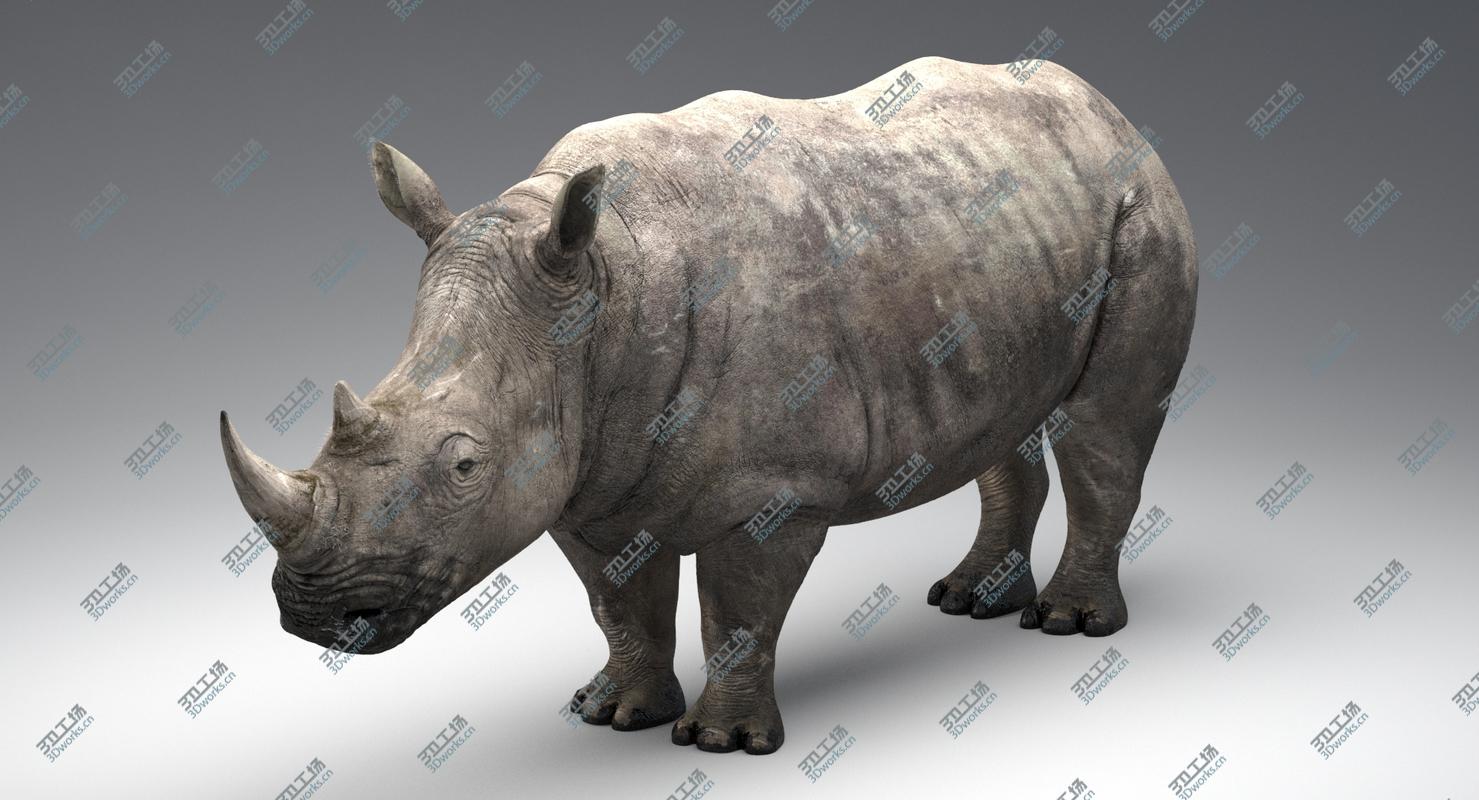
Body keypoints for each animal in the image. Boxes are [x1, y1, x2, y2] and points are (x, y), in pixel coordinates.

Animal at [220, 56, 1196, 755]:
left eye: (464, 465)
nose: (312, 615)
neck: (603, 287)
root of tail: (1105, 108)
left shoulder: (778, 490)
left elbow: (738, 608)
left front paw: (725, 743)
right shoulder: (589, 476)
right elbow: (618, 602)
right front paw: (614, 716)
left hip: (1138, 210)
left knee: (1105, 425)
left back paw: (1066, 625)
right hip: (999, 239)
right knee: (1004, 419)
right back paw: (963, 601)